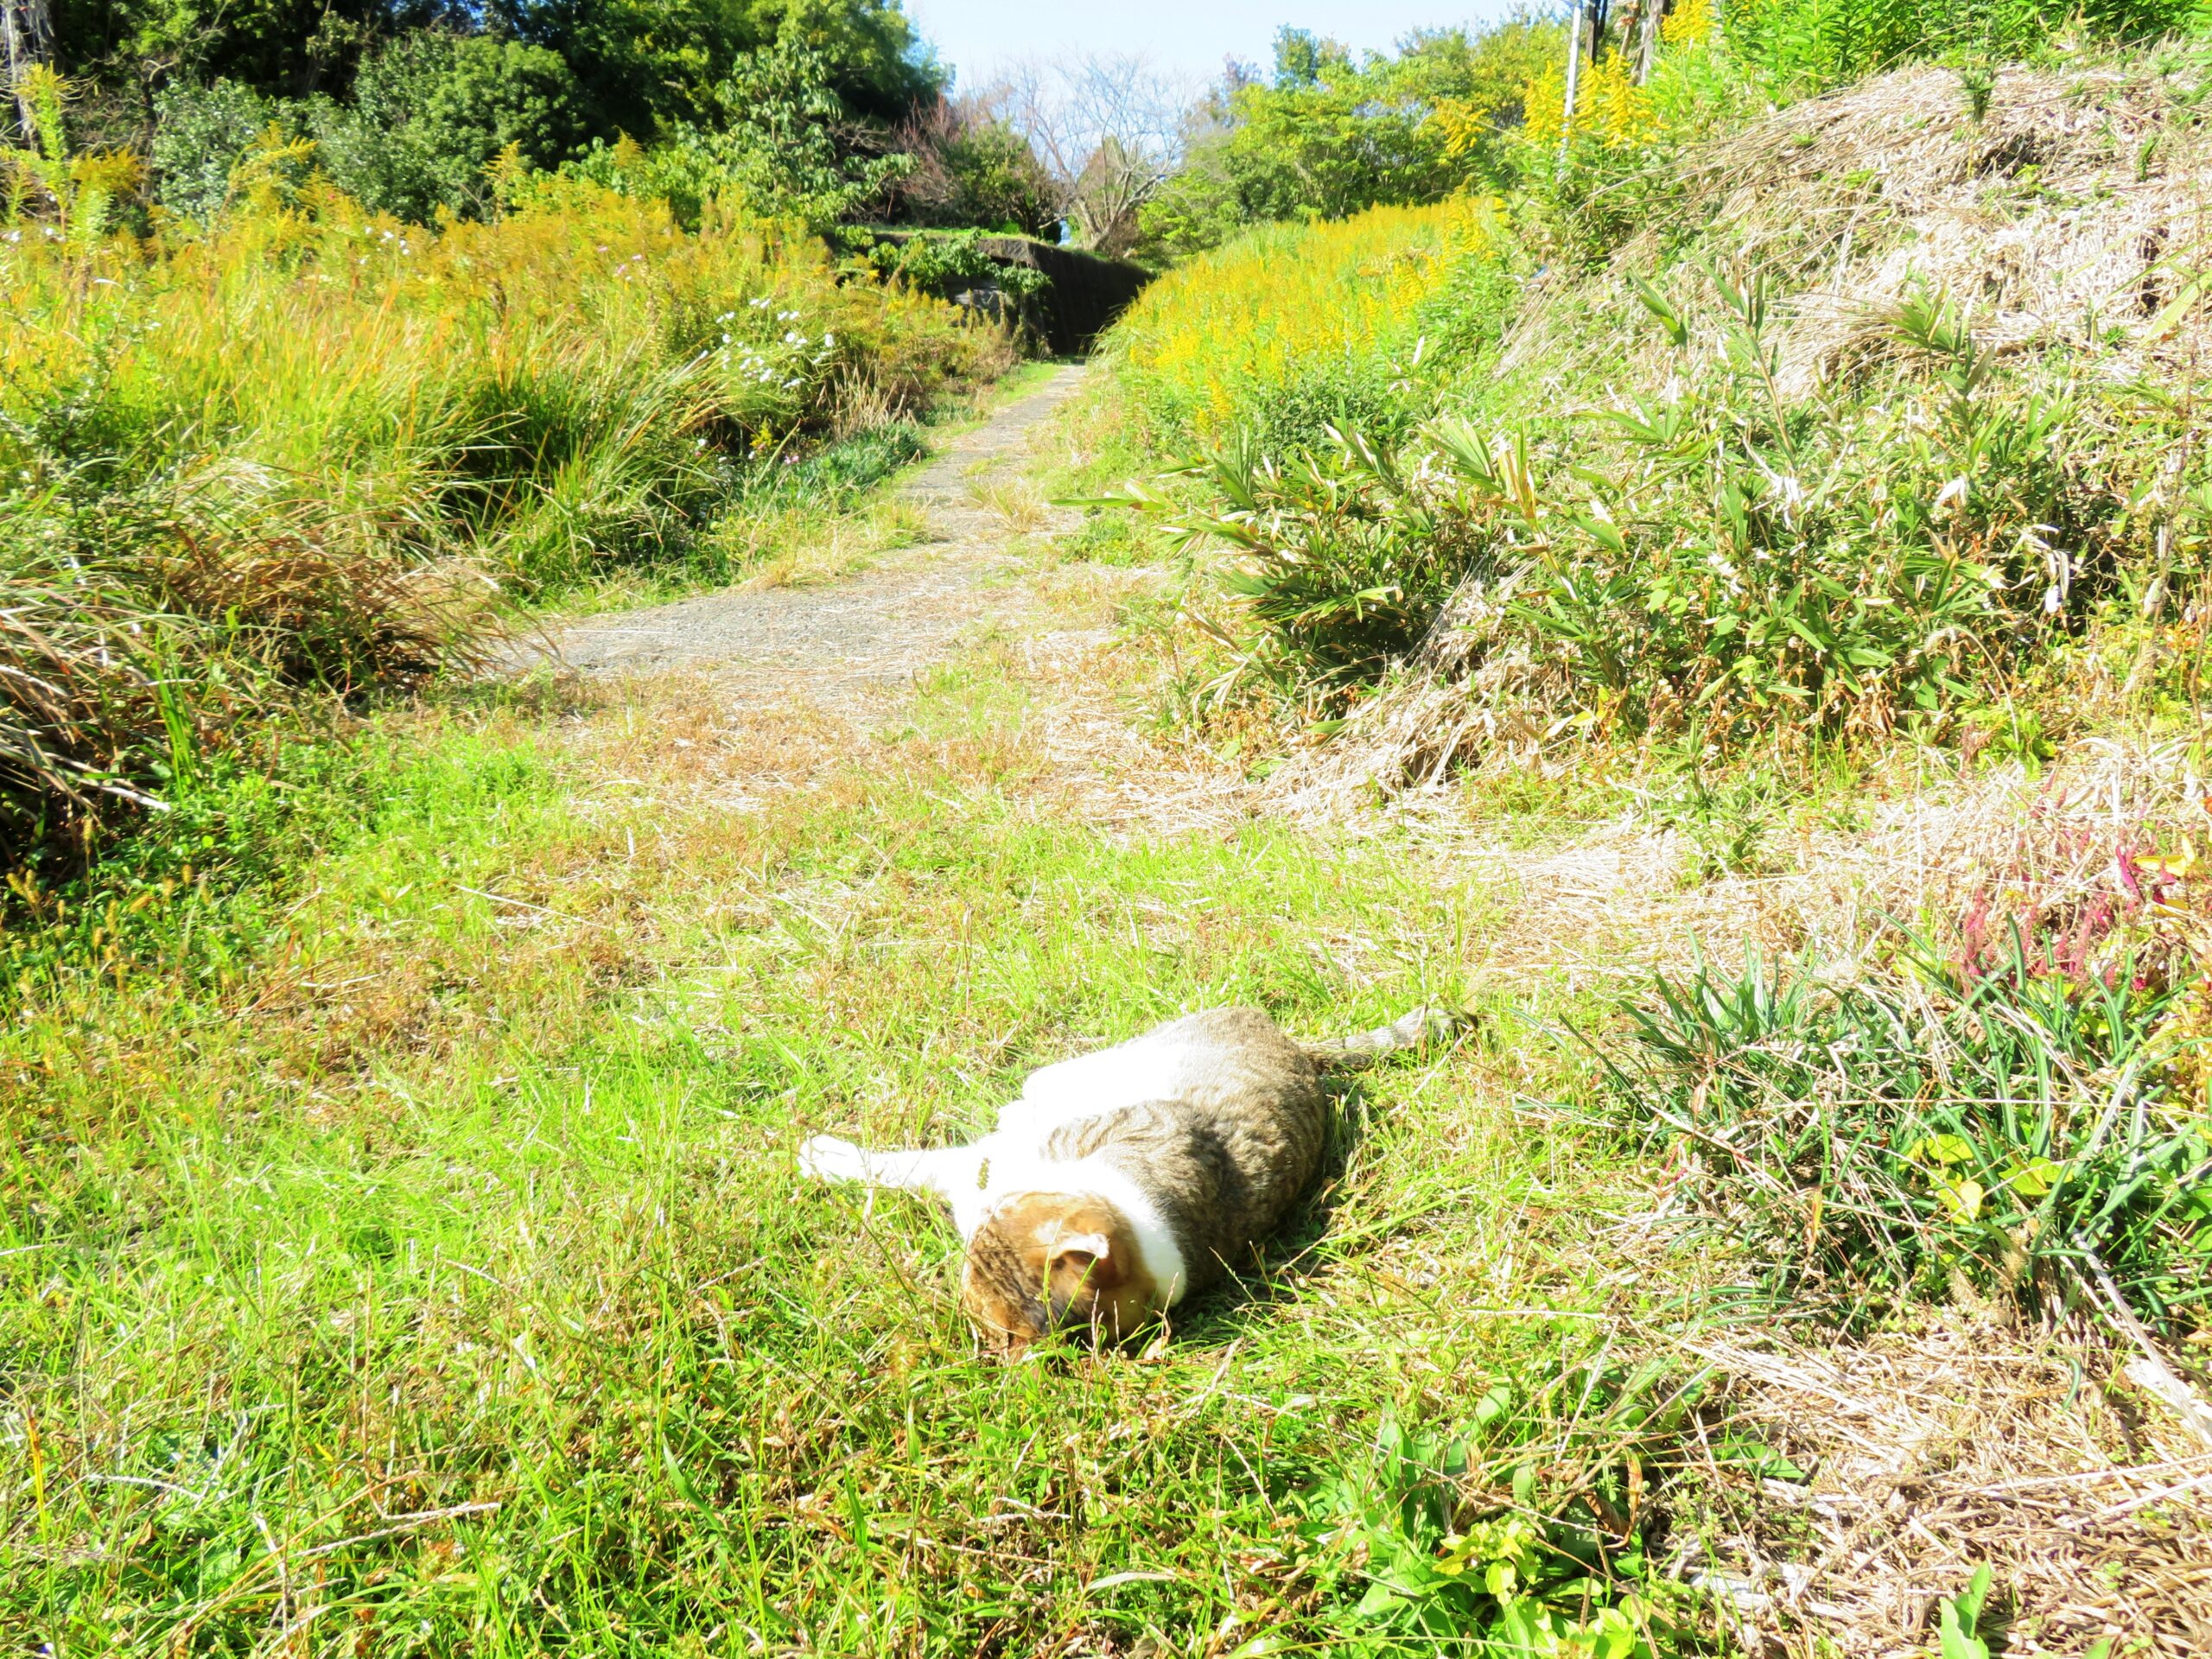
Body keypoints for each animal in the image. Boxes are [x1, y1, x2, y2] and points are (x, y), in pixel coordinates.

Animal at [796, 1008, 1451, 1353]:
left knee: (1042, 1084)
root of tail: (1296, 1047)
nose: (981, 1202)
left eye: (989, 1228)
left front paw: (823, 1157)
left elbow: (912, 1164)